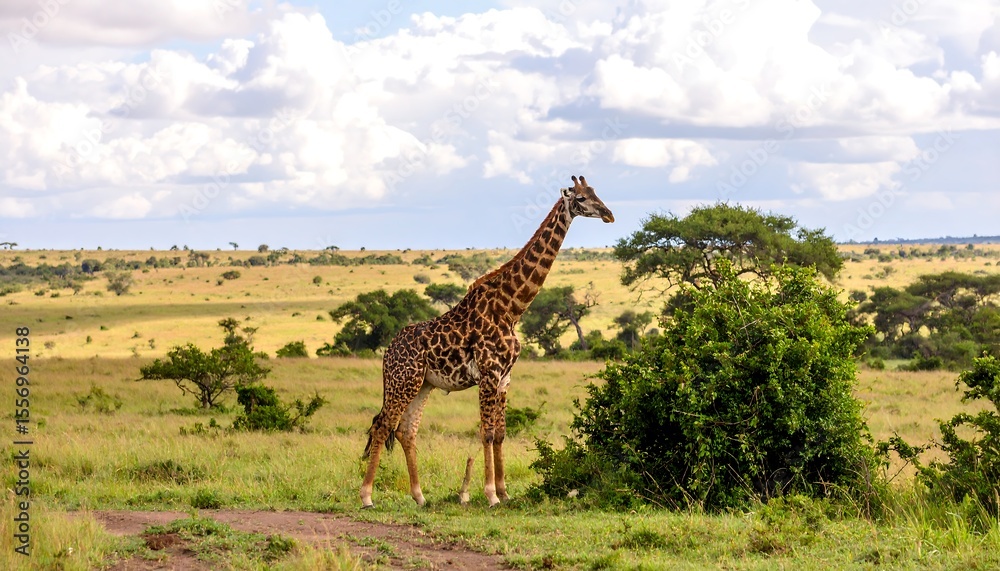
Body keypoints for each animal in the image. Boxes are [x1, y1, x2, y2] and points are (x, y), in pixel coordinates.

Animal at [360, 175, 614, 508]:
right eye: (581, 198)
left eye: (596, 192)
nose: (609, 215)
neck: (511, 308)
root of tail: (387, 353)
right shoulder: (489, 374)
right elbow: (487, 433)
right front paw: (491, 494)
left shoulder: (505, 377)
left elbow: (502, 433)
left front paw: (505, 492)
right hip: (403, 382)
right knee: (381, 426)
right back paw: (366, 496)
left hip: (423, 385)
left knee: (405, 431)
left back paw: (419, 496)